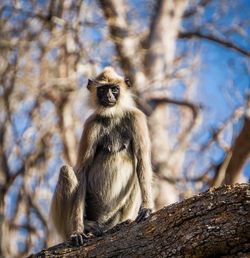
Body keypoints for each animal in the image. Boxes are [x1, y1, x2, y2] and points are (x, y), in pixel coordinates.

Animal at [49, 66, 153, 246]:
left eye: (114, 89)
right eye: (103, 90)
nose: (109, 97)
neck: (113, 115)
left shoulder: (136, 117)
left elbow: (142, 160)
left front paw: (146, 207)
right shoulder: (91, 124)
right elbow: (82, 170)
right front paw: (77, 231)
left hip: (113, 216)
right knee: (66, 171)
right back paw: (85, 226)